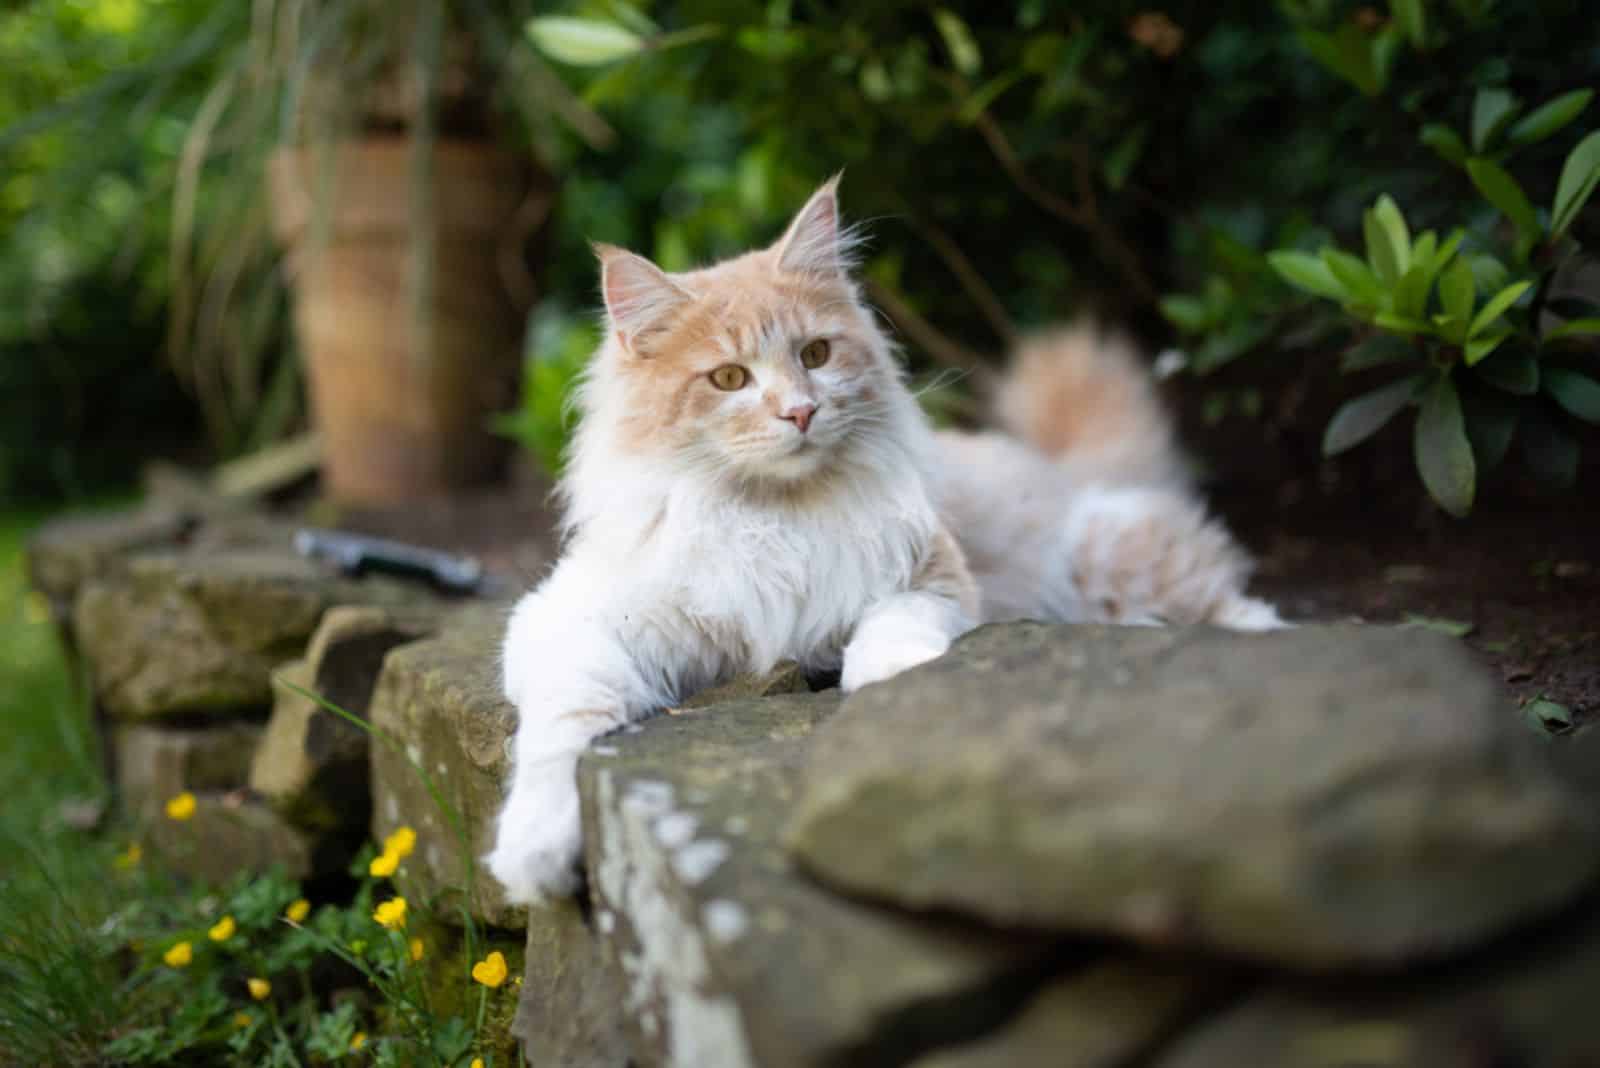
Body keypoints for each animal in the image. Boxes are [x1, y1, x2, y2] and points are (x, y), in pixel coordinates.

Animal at [486, 175, 1286, 901]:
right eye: (729, 378)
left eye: (815, 355)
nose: (800, 413)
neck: (774, 516)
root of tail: (1058, 469)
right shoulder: (571, 621)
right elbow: (564, 727)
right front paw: (535, 848)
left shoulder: (933, 578)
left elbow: (891, 628)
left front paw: (890, 681)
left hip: (1114, 561)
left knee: (1243, 608)